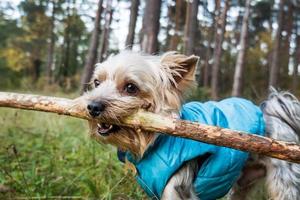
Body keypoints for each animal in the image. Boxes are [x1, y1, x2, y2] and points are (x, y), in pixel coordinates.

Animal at [83, 50, 300, 199]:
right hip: (241, 183)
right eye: (96, 83)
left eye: (130, 87)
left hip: (285, 181)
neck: (155, 142)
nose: (92, 106)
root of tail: (271, 112)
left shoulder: (177, 189)